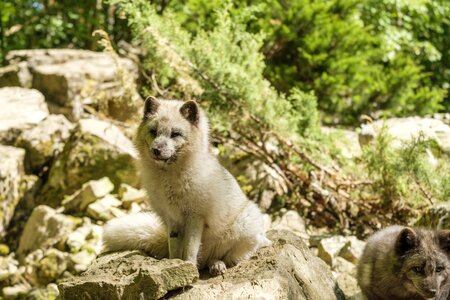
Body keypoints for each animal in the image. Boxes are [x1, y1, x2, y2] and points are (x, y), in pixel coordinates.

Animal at [102, 97, 270, 276]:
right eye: (153, 131)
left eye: (175, 134)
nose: (156, 150)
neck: (168, 178)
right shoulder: (172, 219)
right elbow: (175, 249)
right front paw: (174, 264)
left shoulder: (195, 217)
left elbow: (190, 249)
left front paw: (188, 267)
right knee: (205, 261)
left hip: (244, 229)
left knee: (229, 256)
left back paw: (218, 265)